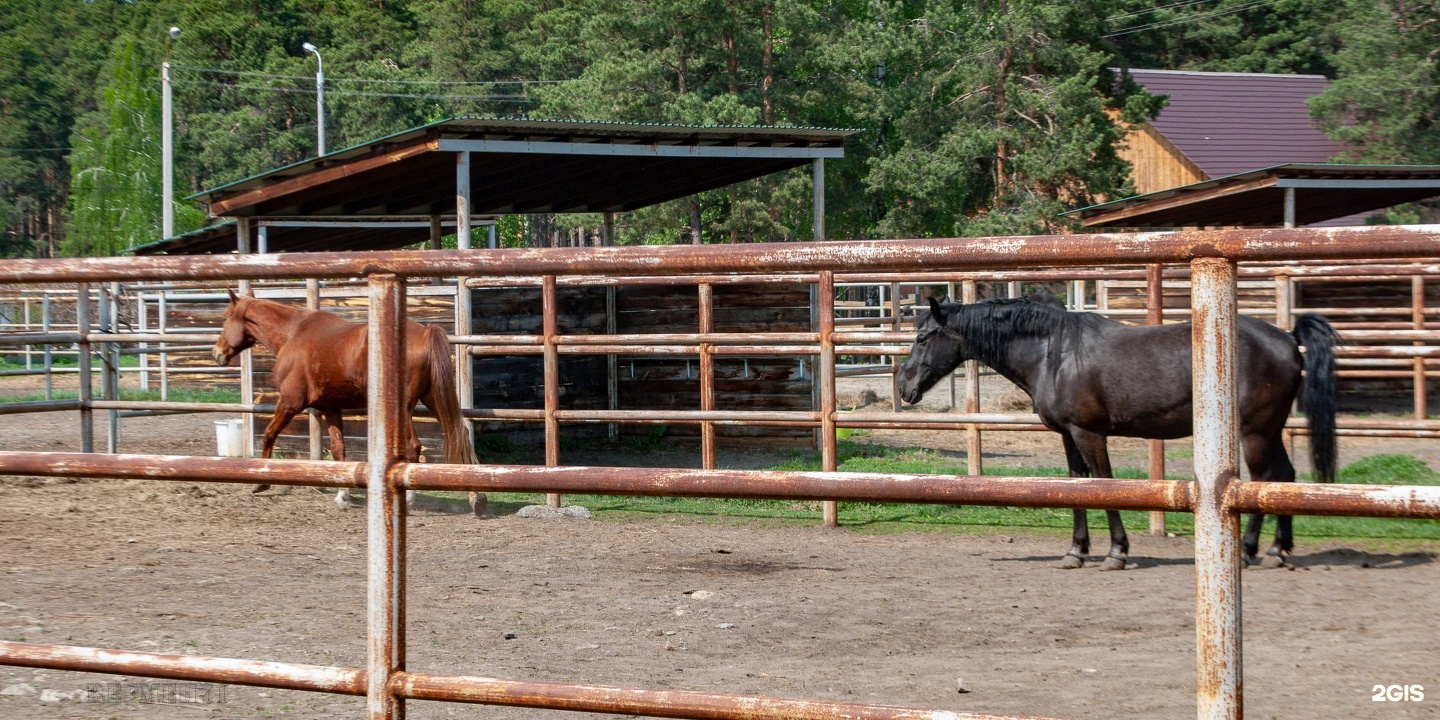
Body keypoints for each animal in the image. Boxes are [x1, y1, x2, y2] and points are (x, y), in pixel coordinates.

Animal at [210, 290, 486, 518]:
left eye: (225, 318)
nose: (217, 353)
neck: (293, 335)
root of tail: (426, 332)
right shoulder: (331, 408)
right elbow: (338, 449)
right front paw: (342, 494)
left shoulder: (290, 402)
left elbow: (269, 434)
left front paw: (261, 480)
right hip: (432, 400)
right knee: (459, 434)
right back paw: (476, 497)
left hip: (407, 408)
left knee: (414, 447)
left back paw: (409, 499)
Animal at [898, 292, 1336, 567]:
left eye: (922, 337)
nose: (904, 386)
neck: (1053, 352)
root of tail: (1287, 337)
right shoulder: (1068, 435)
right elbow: (1075, 486)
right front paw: (1076, 551)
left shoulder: (1089, 433)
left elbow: (1104, 484)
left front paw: (1116, 552)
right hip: (1271, 430)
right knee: (1285, 477)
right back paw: (1278, 550)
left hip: (1255, 432)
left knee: (1261, 480)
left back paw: (1249, 549)